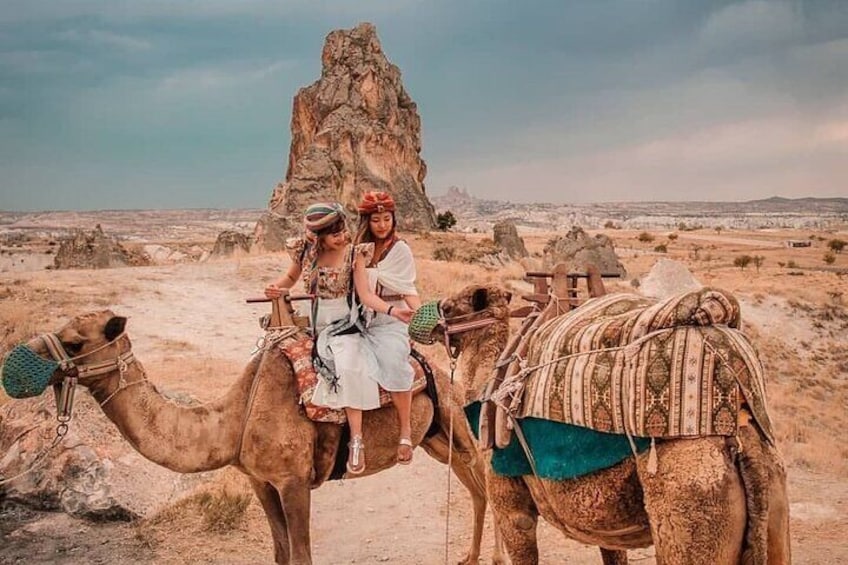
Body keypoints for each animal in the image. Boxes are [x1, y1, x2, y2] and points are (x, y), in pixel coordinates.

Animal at [11, 310, 504, 564]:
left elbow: (301, 555)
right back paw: (468, 557)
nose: (18, 362)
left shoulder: (293, 481)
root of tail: (434, 363)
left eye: (74, 342)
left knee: (486, 479)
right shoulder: (259, 481)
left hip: (455, 420)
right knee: (475, 489)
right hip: (433, 438)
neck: (235, 420)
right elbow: (280, 552)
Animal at [434, 286, 792, 564]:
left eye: (450, 308)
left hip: (691, 502)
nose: (432, 324)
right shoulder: (602, 524)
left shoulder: (510, 504)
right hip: (772, 500)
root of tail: (742, 435)